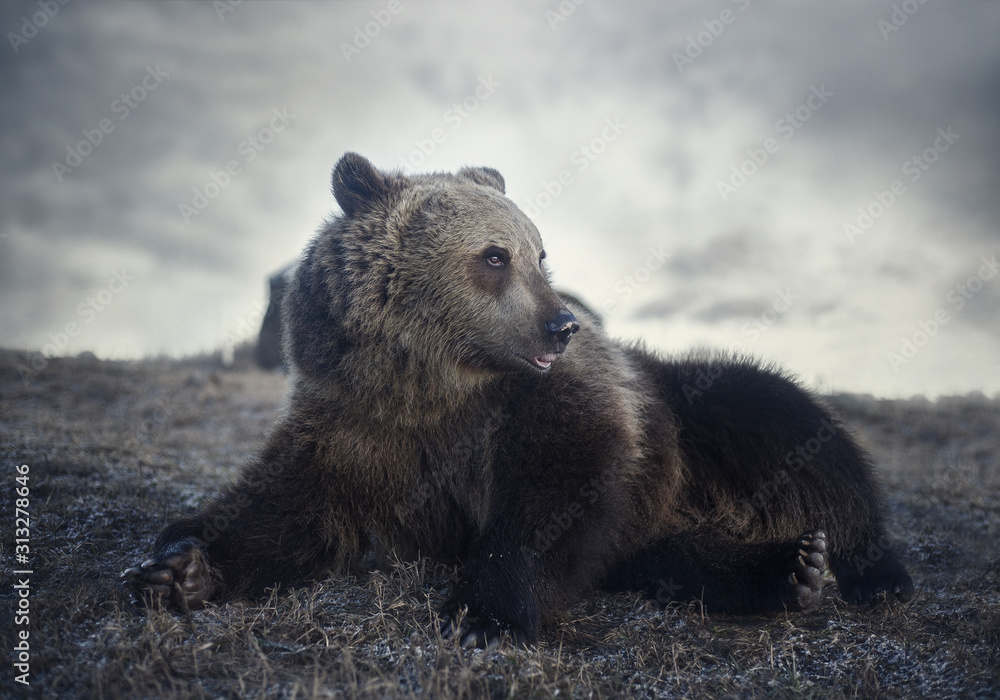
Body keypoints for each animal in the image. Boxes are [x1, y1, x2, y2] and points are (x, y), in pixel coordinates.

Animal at [123, 153, 914, 647]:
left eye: (540, 253)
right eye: (493, 255)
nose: (562, 324)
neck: (436, 382)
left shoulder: (549, 409)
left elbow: (555, 494)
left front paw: (484, 615)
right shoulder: (357, 422)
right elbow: (287, 505)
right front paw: (179, 567)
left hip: (696, 420)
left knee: (791, 427)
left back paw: (856, 567)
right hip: (656, 526)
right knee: (678, 558)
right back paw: (785, 571)